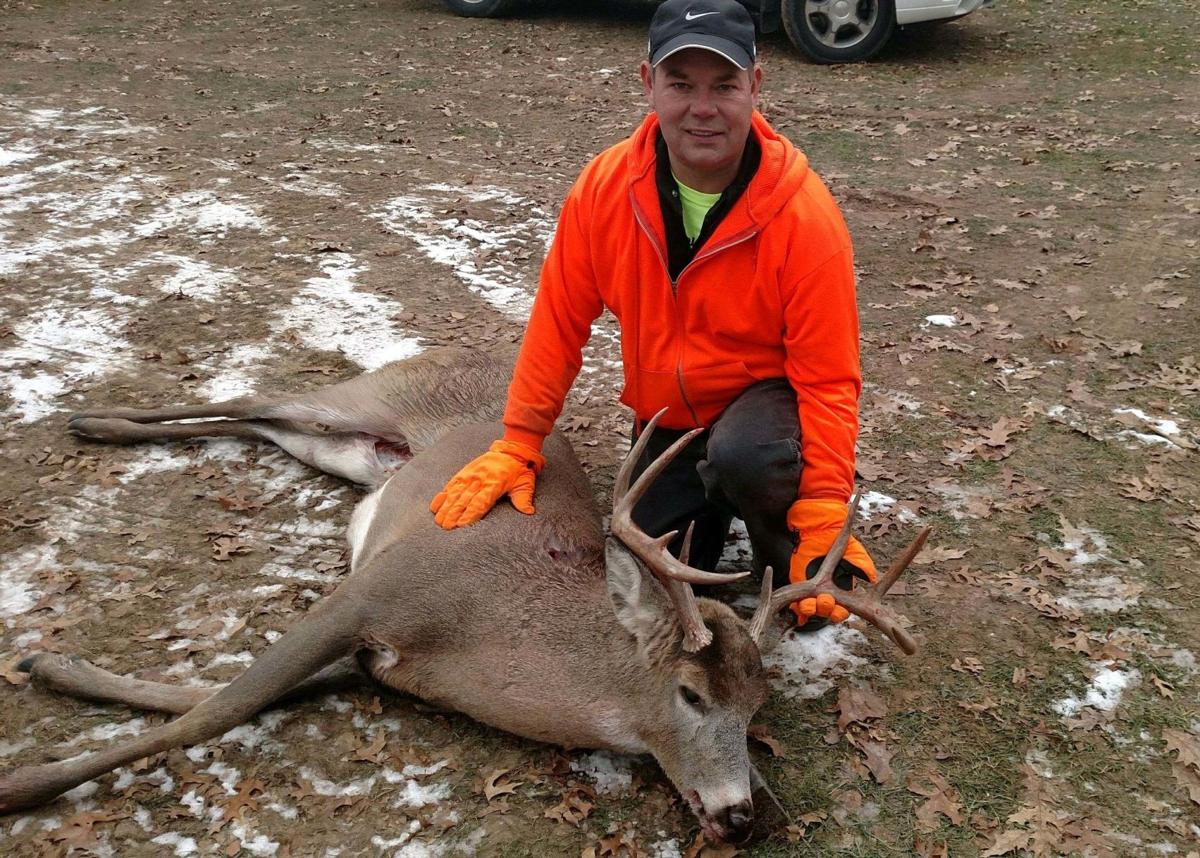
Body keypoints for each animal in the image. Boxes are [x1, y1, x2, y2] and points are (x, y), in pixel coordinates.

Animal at [0, 346, 928, 845]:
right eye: (691, 694)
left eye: (757, 707)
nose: (742, 817)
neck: (485, 640)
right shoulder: (374, 589)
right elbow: (212, 712)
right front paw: (24, 781)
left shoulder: (372, 662)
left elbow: (220, 697)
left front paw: (55, 666)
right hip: (360, 401)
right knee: (257, 394)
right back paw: (93, 418)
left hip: (349, 451)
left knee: (262, 421)